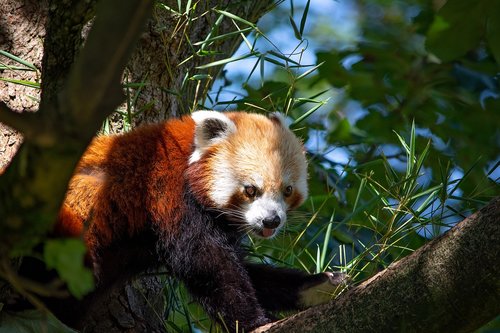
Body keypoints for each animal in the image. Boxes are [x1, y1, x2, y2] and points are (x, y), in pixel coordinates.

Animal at [51, 111, 348, 330]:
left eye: (287, 190)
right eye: (251, 190)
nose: (271, 221)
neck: (189, 166)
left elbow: (246, 271)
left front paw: (316, 285)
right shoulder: (168, 196)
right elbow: (210, 266)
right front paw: (255, 322)